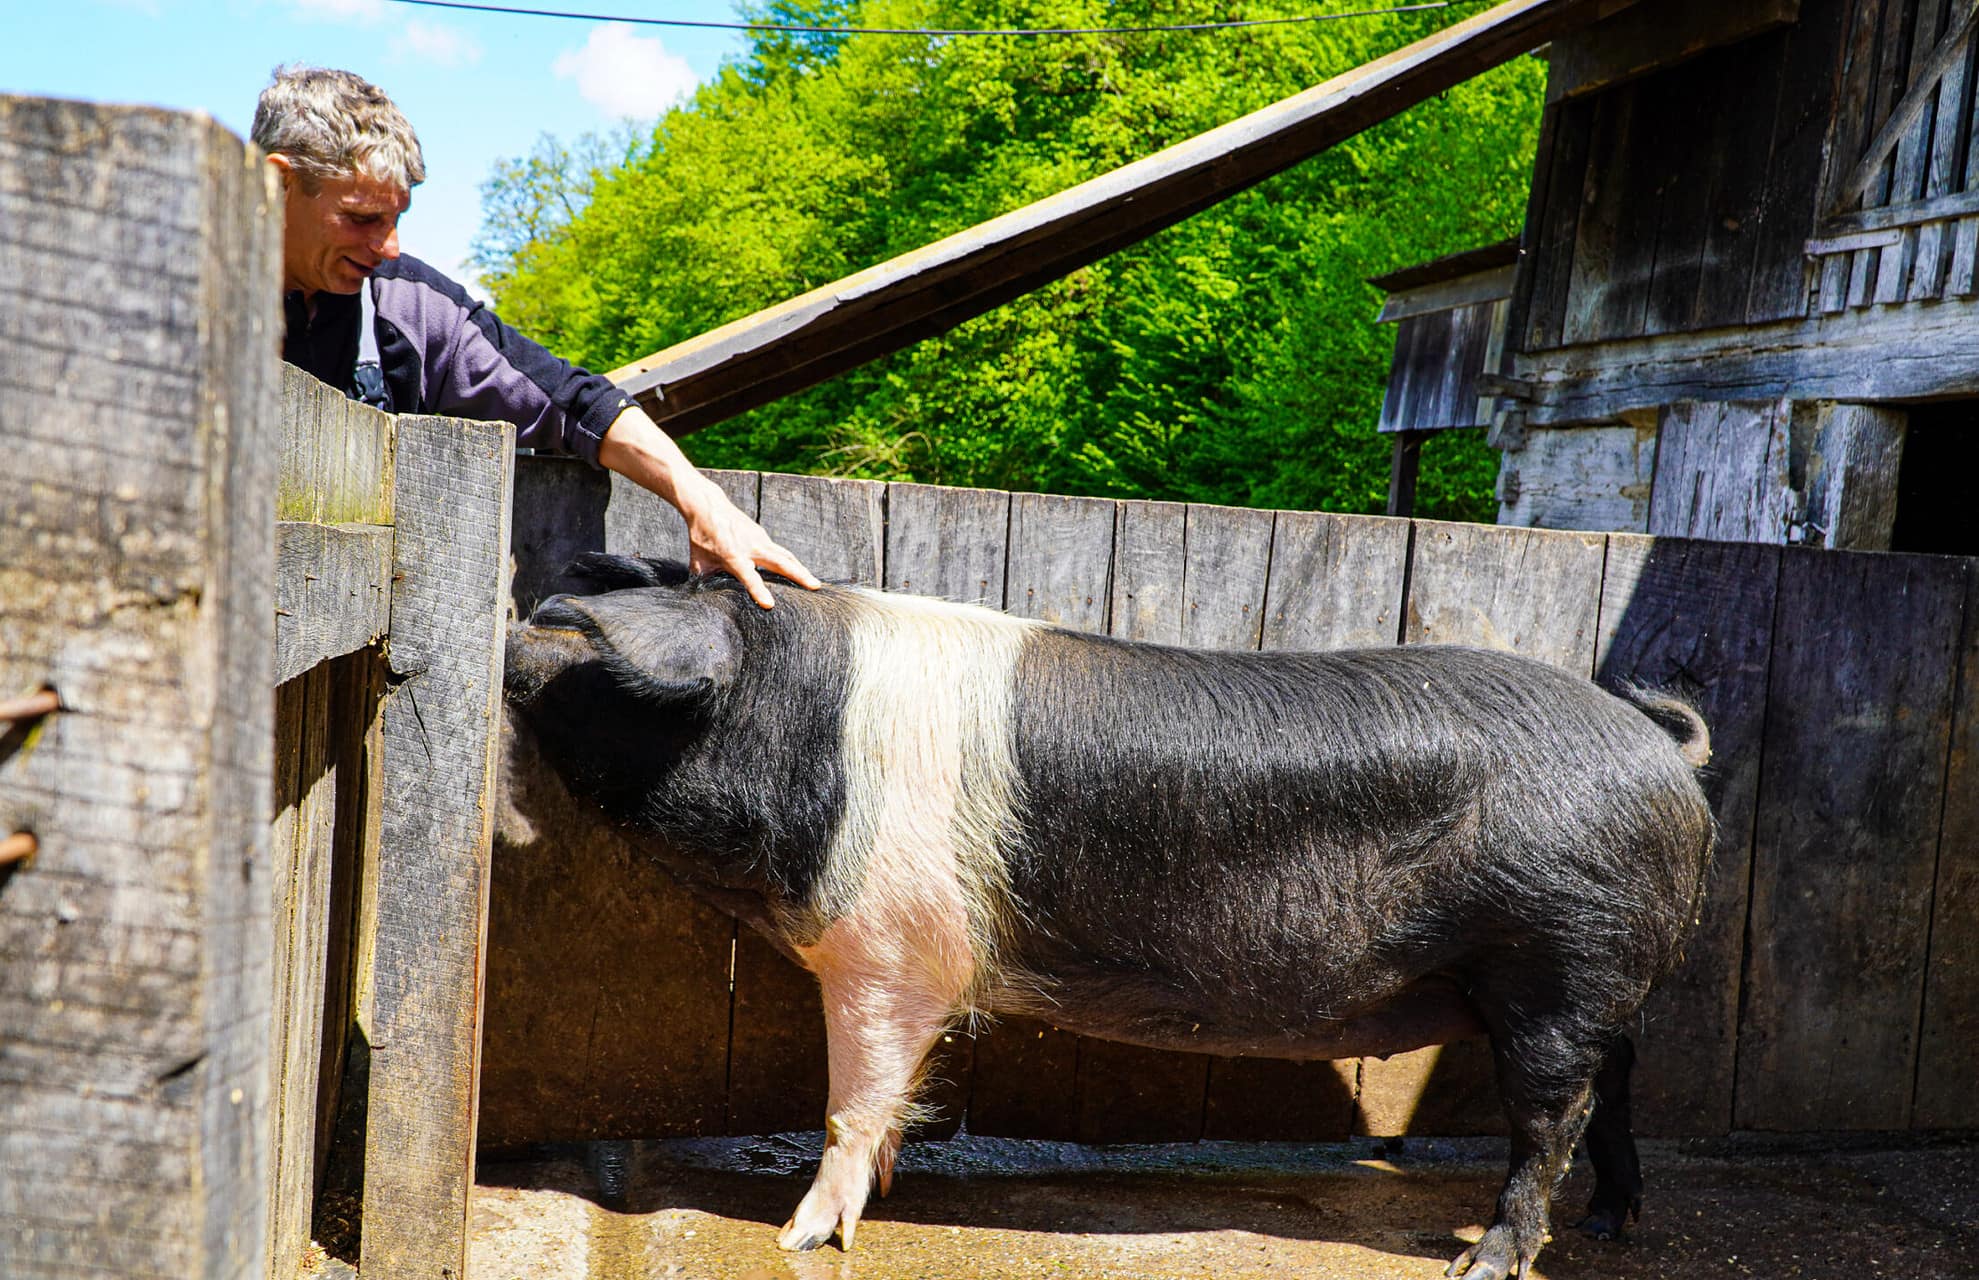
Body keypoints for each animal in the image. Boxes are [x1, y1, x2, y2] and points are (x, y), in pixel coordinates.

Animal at [506, 553, 1717, 1280]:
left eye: (573, 634)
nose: (511, 629)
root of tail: (1659, 748)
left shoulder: (886, 946)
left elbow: (853, 1096)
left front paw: (800, 1234)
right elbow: (886, 1099)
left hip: (1558, 960)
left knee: (1549, 1117)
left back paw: (1487, 1262)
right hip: (1593, 981)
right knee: (1614, 1087)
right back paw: (1614, 1221)